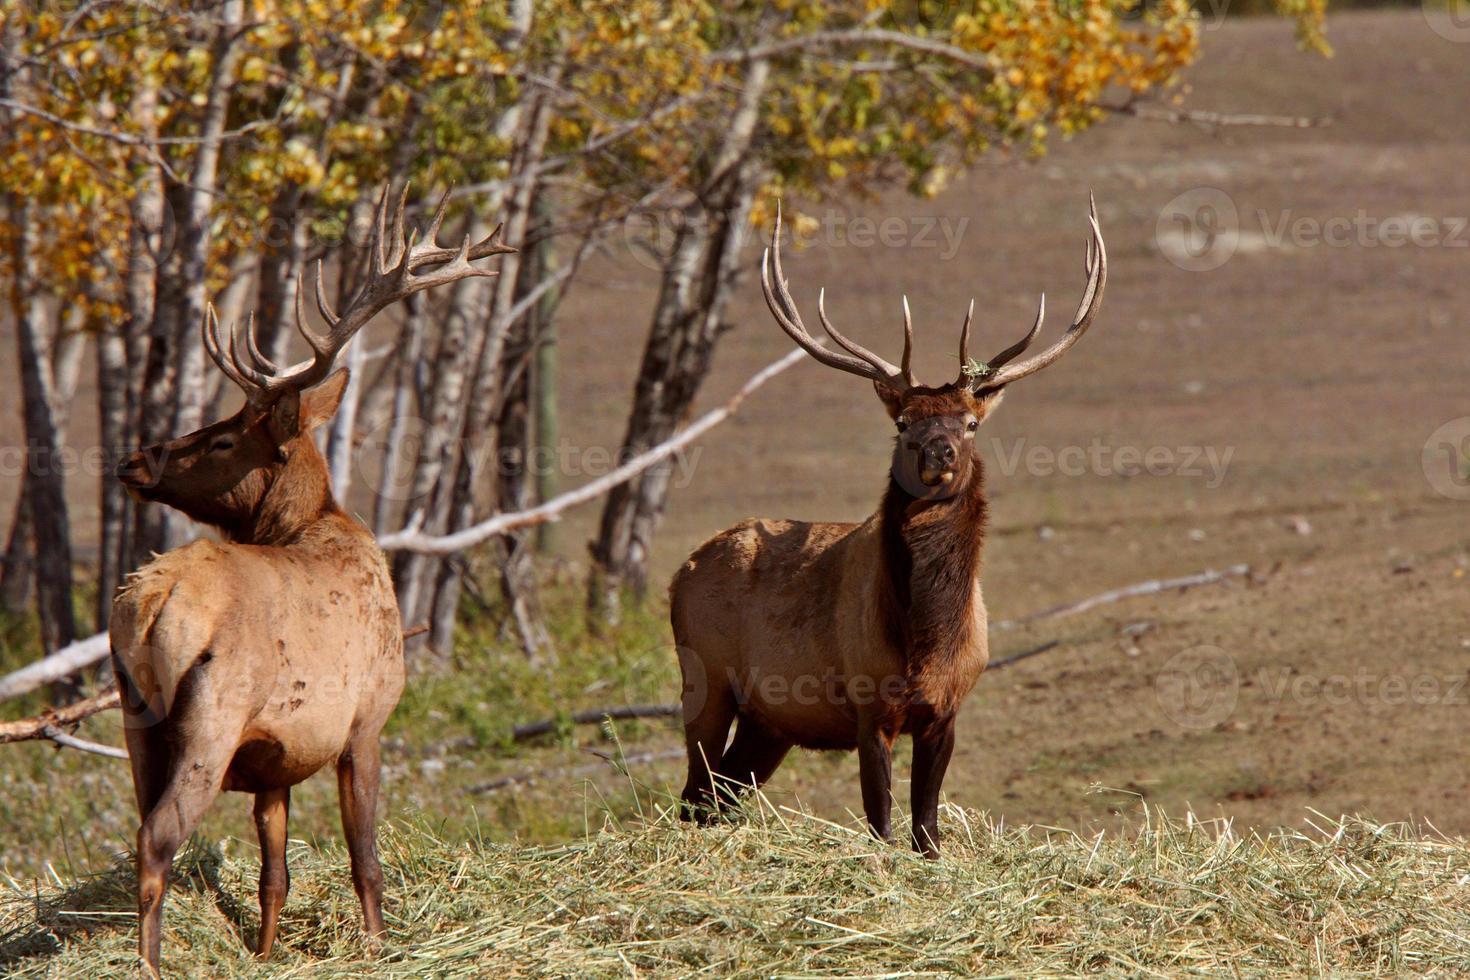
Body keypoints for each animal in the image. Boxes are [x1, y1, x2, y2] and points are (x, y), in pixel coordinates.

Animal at [110, 185, 511, 975]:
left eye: (223, 437)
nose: (133, 460)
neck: (320, 523)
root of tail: (148, 606)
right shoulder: (369, 718)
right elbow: (366, 860)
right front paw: (380, 947)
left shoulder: (275, 762)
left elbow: (276, 875)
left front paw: (267, 954)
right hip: (210, 716)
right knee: (156, 840)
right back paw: (151, 963)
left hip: (136, 719)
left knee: (146, 826)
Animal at [667, 199, 1105, 858]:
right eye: (903, 423)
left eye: (971, 422)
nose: (939, 451)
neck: (924, 642)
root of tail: (682, 569)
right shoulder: (868, 705)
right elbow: (881, 821)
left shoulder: (948, 709)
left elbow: (926, 827)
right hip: (705, 678)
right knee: (694, 794)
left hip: (771, 720)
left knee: (721, 792)